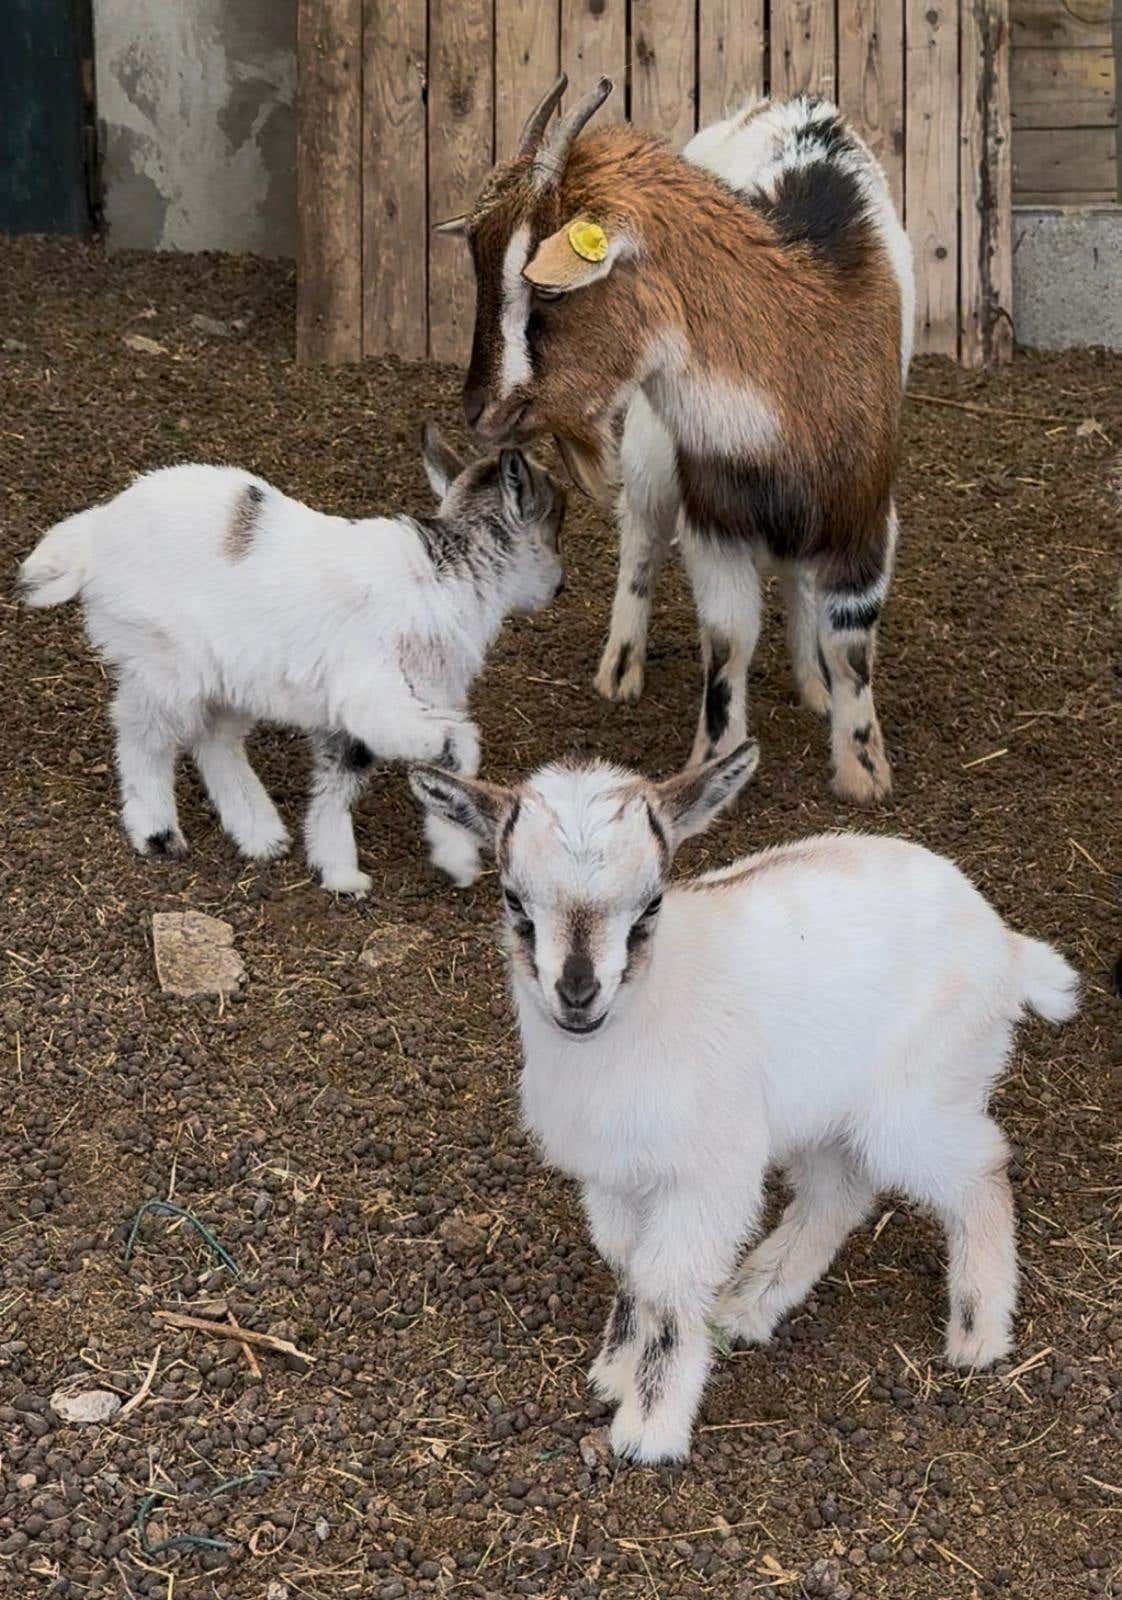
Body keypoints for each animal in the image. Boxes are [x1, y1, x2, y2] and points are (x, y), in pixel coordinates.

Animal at [19, 428, 565, 894]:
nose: (558, 588)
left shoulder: (381, 710)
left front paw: (342, 871)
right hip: (165, 663)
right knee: (143, 735)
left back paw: (260, 833)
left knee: (213, 739)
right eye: (553, 525)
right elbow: (454, 748)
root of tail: (96, 530)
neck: (450, 574)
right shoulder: (375, 700)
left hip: (233, 676)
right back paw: (158, 833)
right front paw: (449, 857)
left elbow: (348, 780)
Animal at [410, 743, 1080, 1464]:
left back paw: (978, 1333)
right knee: (838, 1195)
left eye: (651, 904)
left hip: (921, 1096)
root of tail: (1005, 944)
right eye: (514, 901)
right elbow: (627, 1263)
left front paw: (649, 1430)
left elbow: (667, 1285)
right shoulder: (612, 1173)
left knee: (980, 1167)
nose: (578, 994)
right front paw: (614, 1369)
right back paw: (749, 1302)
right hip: (827, 1113)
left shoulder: (708, 1176)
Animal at [436, 78, 914, 805]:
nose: (480, 410)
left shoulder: (863, 514)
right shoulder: (714, 513)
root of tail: (784, 103)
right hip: (651, 444)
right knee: (640, 537)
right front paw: (715, 758)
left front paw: (863, 771)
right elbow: (728, 638)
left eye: (548, 291)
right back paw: (620, 666)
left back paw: (811, 683)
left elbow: (850, 645)